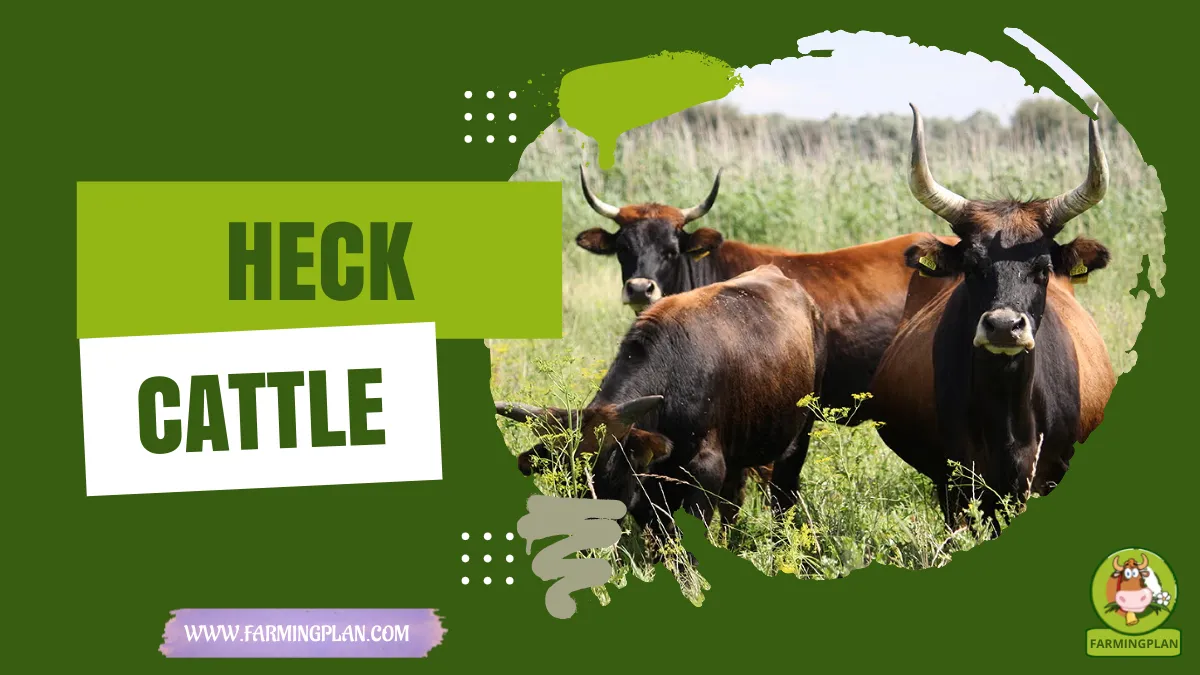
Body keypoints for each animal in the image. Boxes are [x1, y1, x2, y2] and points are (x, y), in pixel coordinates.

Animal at [494, 264, 826, 553]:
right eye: (564, 476)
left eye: (606, 471)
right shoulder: (648, 490)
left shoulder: (706, 471)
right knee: (734, 501)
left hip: (799, 436)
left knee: (782, 496)